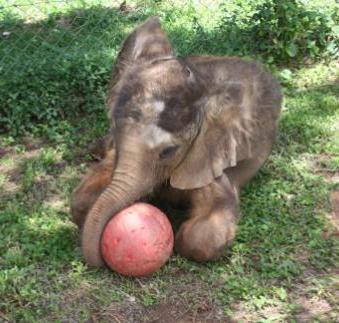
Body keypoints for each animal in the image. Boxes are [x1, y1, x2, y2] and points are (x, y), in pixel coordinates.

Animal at [72, 16, 284, 268]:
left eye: (169, 151)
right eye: (115, 131)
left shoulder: (208, 154)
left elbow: (205, 237)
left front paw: (179, 237)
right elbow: (82, 202)